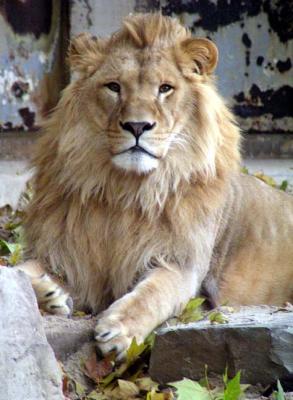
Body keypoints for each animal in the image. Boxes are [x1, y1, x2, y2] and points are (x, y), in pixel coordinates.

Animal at [18, 13, 292, 360]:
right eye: (114, 87)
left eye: (165, 89)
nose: (137, 126)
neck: (123, 191)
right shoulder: (66, 255)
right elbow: (14, 268)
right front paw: (47, 293)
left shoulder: (181, 265)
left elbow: (154, 293)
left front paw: (119, 330)